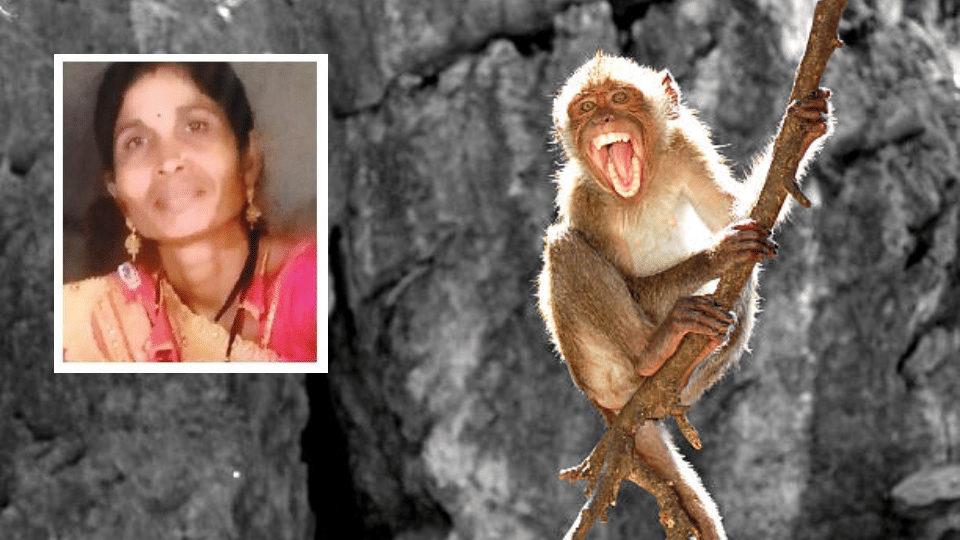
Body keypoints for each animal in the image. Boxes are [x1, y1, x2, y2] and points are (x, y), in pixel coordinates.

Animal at [537, 53, 830, 540]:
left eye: (620, 98)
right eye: (586, 108)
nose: (603, 118)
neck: (641, 186)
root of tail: (616, 409)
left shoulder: (685, 147)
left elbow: (735, 211)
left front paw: (805, 128)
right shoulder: (581, 195)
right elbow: (629, 277)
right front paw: (715, 253)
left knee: (747, 283)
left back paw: (698, 352)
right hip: (598, 370)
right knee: (563, 246)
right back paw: (654, 349)